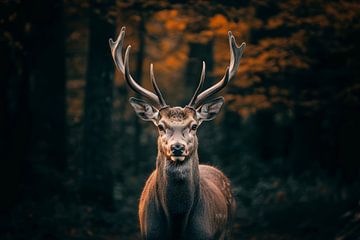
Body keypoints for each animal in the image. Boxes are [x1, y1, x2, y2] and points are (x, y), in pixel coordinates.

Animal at [109, 26, 245, 240]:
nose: (177, 147)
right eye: (160, 126)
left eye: (194, 125)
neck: (177, 222)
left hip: (227, 230)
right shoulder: (149, 232)